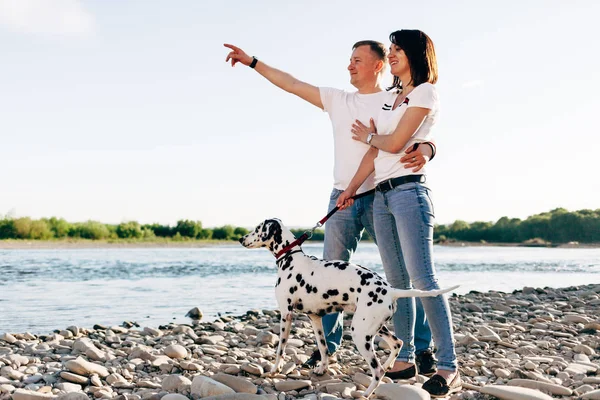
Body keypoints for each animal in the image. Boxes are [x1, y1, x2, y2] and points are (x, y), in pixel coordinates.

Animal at [237, 220, 458, 398]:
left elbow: (280, 350)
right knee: (398, 343)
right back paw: (389, 367)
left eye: (257, 228)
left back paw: (367, 393)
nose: (240, 238)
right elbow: (324, 348)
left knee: (377, 370)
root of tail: (390, 290)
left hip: (360, 334)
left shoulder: (286, 315)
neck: (291, 258)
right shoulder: (315, 318)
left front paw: (275, 370)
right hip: (375, 327)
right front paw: (321, 370)